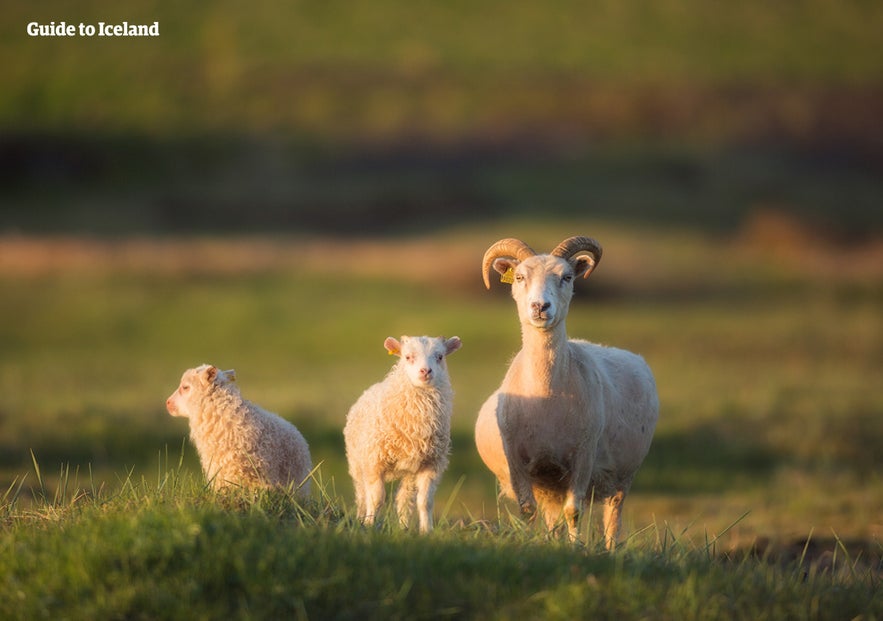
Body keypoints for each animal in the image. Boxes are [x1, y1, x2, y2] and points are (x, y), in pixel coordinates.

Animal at [344, 335, 462, 533]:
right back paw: (361, 517)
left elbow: (425, 502)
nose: (425, 371)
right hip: (357, 462)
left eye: (440, 356)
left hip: (408, 472)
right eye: (407, 357)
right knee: (362, 495)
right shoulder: (374, 461)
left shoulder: (431, 464)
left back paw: (403, 527)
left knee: (404, 499)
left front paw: (427, 531)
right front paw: (368, 526)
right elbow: (376, 498)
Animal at [475, 236, 659, 549]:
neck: (546, 397)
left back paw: (610, 549)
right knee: (552, 515)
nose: (540, 306)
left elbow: (574, 511)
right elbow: (527, 509)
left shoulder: (583, 456)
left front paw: (575, 549)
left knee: (613, 516)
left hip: (622, 476)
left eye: (567, 277)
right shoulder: (517, 460)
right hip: (550, 481)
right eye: (520, 277)